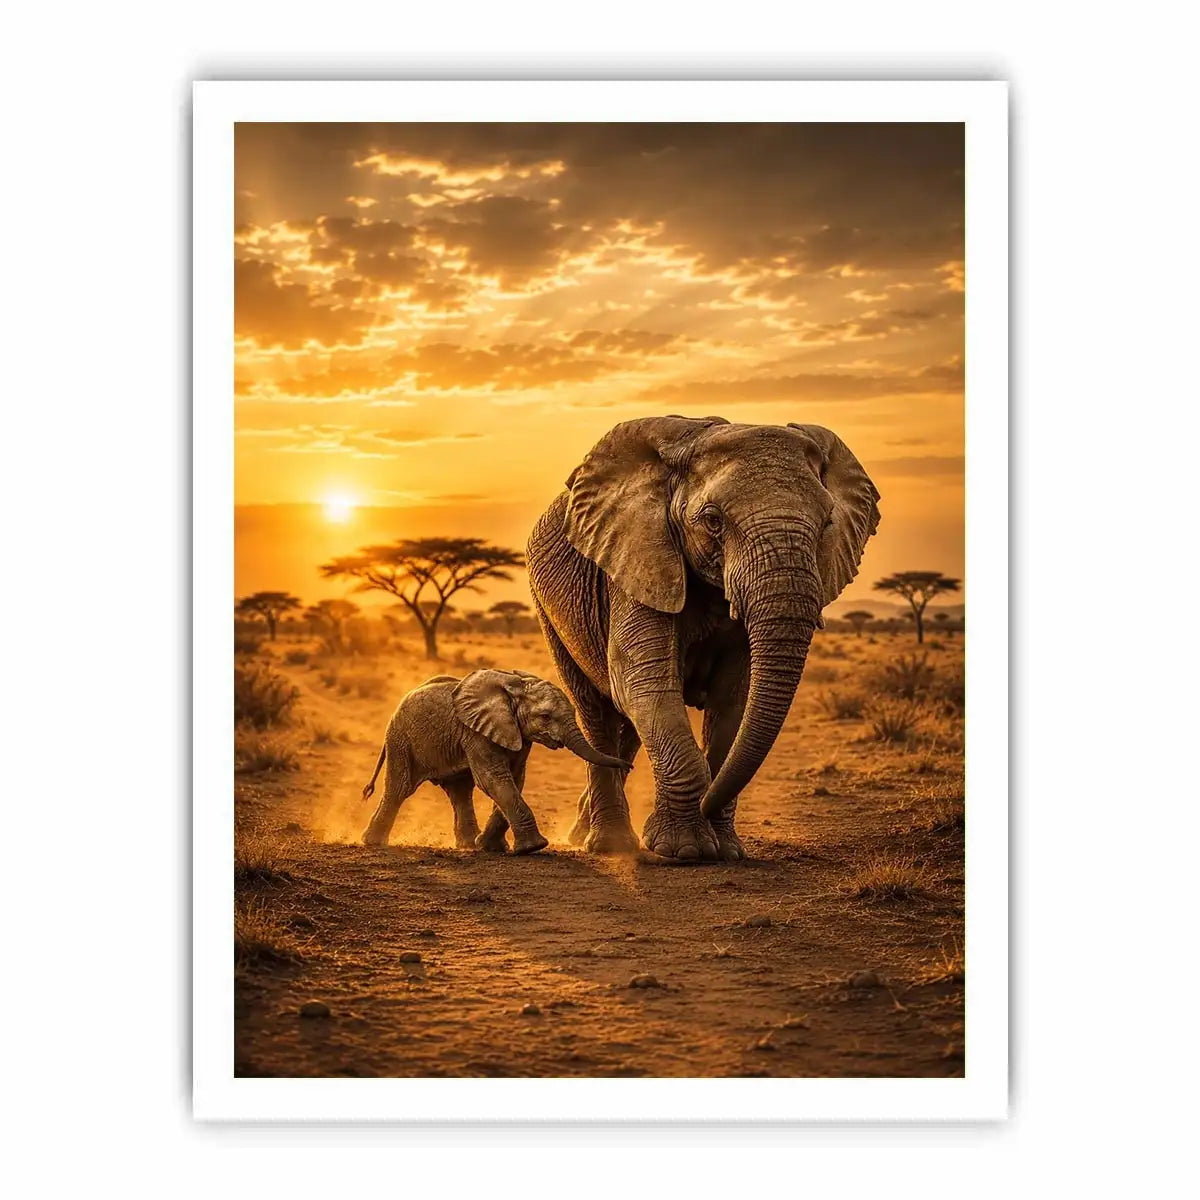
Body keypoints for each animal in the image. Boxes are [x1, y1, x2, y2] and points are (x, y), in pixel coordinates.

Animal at [359, 669, 629, 853]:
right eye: (545, 716)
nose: (629, 765)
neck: (515, 688)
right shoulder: (476, 733)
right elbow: (493, 779)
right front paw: (534, 847)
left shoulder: (516, 734)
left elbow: (515, 778)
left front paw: (490, 847)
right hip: (400, 740)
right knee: (399, 788)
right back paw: (372, 842)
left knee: (460, 792)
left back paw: (468, 845)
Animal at [526, 416, 880, 863]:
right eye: (712, 520)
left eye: (828, 522)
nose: (709, 803)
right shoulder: (639, 559)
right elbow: (643, 683)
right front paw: (686, 850)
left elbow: (733, 700)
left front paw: (726, 849)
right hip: (549, 612)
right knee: (597, 710)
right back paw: (609, 844)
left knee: (627, 727)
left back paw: (585, 831)